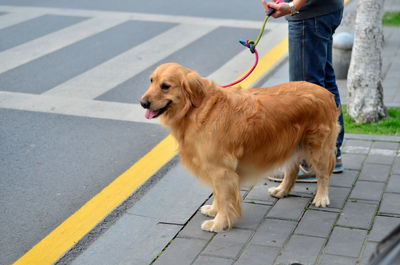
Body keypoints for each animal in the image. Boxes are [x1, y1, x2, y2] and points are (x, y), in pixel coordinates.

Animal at [141, 62, 340, 231]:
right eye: (151, 81)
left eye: (165, 86)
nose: (143, 103)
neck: (196, 109)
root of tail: (326, 93)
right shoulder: (216, 169)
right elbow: (218, 194)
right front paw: (213, 210)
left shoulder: (221, 170)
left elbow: (224, 198)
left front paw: (218, 223)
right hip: (292, 145)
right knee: (292, 170)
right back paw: (282, 190)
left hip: (318, 147)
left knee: (324, 174)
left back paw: (321, 197)